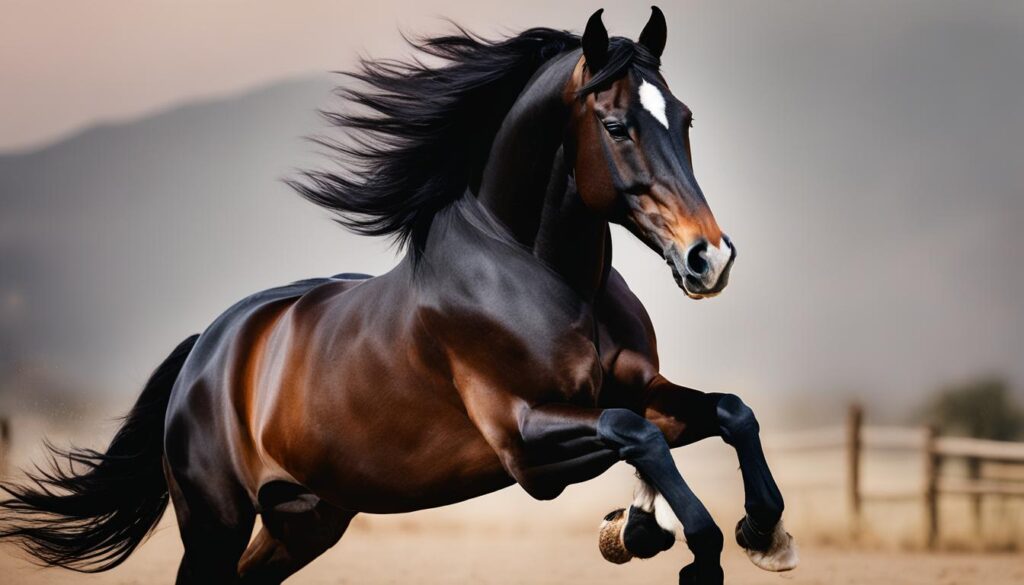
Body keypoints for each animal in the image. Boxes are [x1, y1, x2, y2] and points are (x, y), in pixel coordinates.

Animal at [0, 7, 797, 584]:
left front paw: (758, 531)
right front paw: (668, 539)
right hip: (214, 526)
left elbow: (727, 412)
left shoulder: (638, 390)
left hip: (306, 520)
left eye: (685, 119)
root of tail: (207, 347)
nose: (709, 258)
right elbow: (641, 437)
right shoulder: (526, 444)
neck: (551, 278)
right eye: (615, 124)